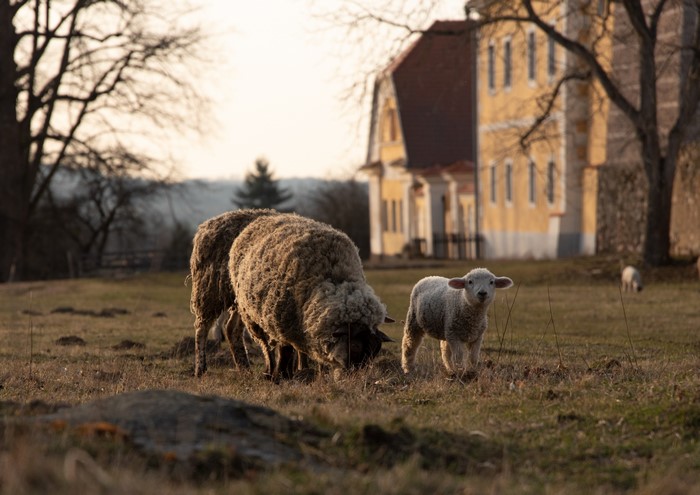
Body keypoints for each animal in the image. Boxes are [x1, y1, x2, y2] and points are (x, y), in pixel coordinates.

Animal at [190, 208, 279, 377]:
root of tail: (206, 226)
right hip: (211, 291)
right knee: (202, 327)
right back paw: (200, 369)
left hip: (239, 299)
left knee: (232, 329)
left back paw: (245, 368)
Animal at [229, 213, 394, 380]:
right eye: (354, 346)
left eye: (375, 350)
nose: (356, 375)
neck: (332, 280)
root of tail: (264, 217)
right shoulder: (281, 322)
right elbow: (284, 350)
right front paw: (280, 375)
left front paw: (319, 374)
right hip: (252, 316)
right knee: (266, 345)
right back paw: (270, 371)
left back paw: (300, 369)